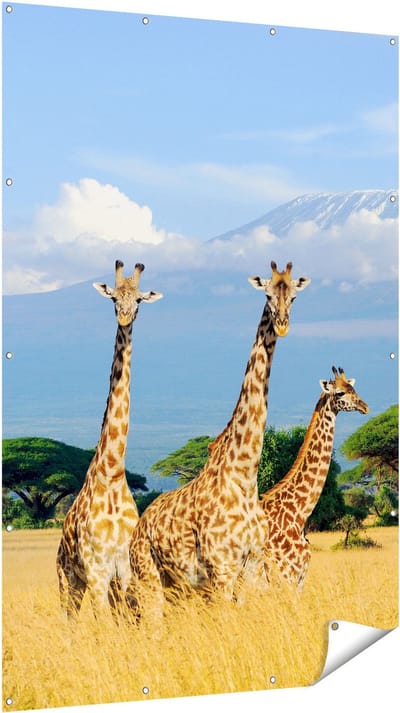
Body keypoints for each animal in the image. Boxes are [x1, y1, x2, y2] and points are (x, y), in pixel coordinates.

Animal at [56, 261, 163, 620]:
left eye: (139, 300)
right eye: (113, 297)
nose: (125, 317)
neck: (113, 471)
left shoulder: (124, 569)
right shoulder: (97, 570)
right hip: (68, 579)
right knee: (69, 620)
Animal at [128, 261, 311, 615]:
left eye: (294, 297)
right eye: (268, 294)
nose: (282, 325)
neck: (244, 475)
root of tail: (138, 528)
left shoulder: (251, 567)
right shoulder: (222, 569)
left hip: (179, 587)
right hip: (149, 578)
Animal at [261, 366, 369, 589]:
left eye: (353, 388)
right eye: (340, 393)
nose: (365, 407)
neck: (299, 513)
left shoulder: (299, 578)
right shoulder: (287, 574)